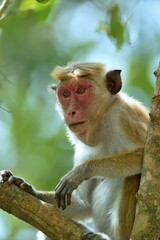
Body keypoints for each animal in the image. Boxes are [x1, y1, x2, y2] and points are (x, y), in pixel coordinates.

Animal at [0, 62, 149, 240]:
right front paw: (26, 188)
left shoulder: (123, 116)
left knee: (134, 176)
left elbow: (145, 155)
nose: (71, 112)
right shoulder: (82, 149)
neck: (101, 126)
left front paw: (81, 171)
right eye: (65, 94)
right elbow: (81, 204)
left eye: (81, 90)